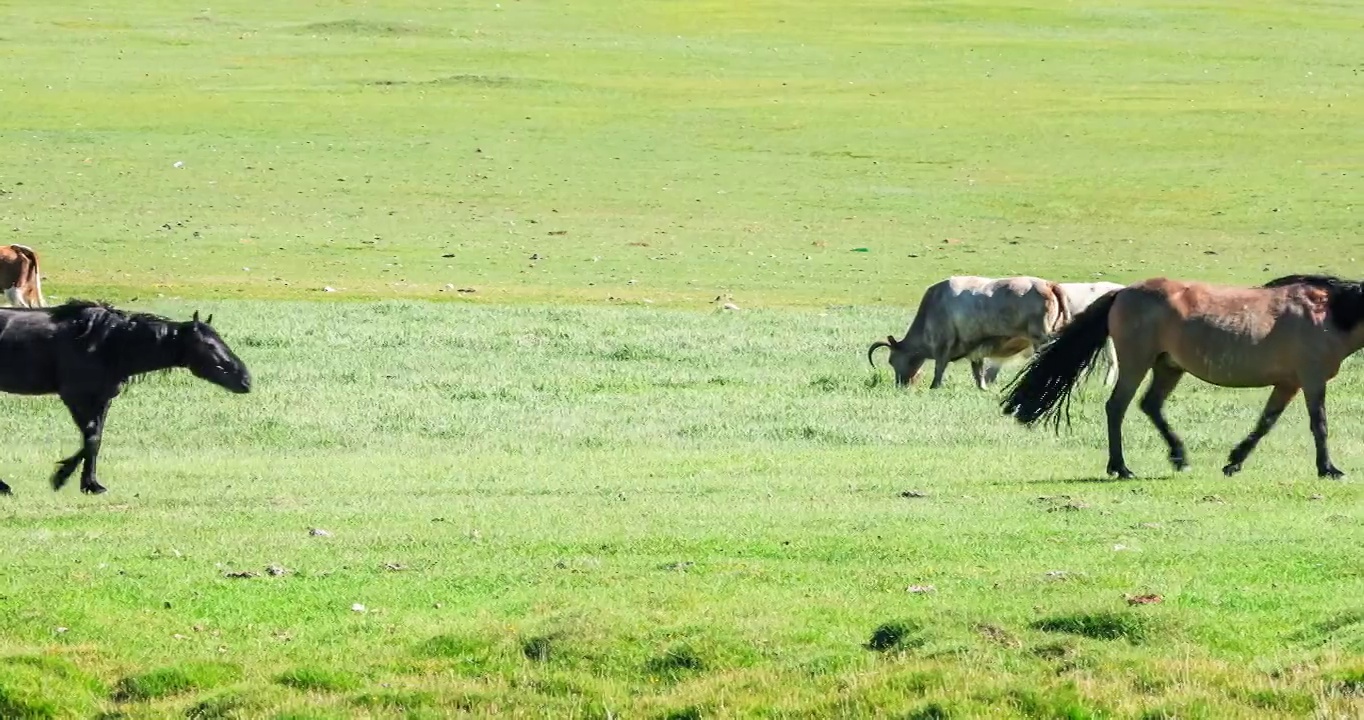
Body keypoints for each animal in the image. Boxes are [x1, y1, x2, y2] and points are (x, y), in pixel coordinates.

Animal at [0, 300, 250, 496]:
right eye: (209, 345)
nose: (246, 380)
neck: (107, 342)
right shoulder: (75, 397)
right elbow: (91, 439)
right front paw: (62, 477)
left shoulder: (102, 399)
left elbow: (95, 439)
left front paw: (90, 484)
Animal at [867, 276, 1069, 390]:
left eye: (892, 360)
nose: (900, 385)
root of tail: (1048, 285)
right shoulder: (975, 350)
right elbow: (978, 372)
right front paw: (983, 389)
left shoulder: (943, 345)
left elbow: (939, 368)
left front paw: (934, 387)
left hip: (1041, 339)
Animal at [998, 274, 1364, 477]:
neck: (1328, 314)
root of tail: (1123, 293)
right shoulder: (1312, 379)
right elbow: (1319, 425)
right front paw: (1329, 469)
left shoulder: (1289, 383)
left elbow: (1265, 423)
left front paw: (1234, 462)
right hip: (1136, 363)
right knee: (1117, 407)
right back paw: (1121, 467)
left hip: (1168, 366)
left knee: (1150, 406)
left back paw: (1179, 457)